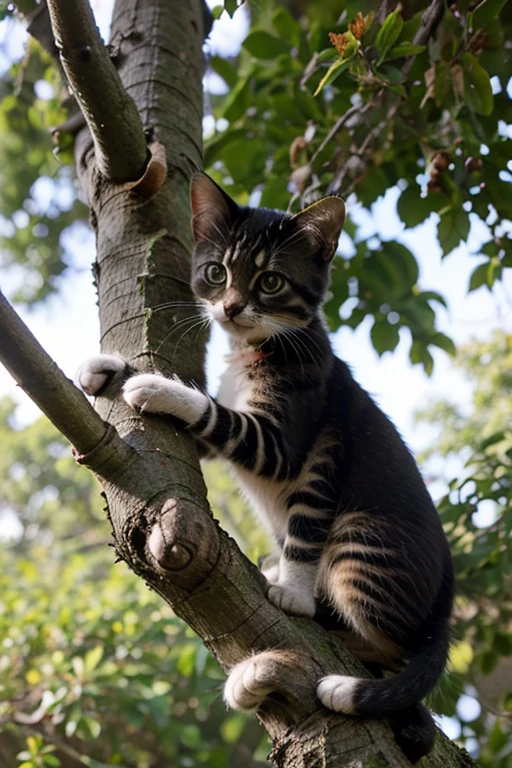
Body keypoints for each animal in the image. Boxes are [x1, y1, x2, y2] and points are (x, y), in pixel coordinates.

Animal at [78, 172, 454, 760]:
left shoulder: (296, 444)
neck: (256, 348)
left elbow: (234, 434)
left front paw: (294, 593)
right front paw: (111, 369)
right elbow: (212, 414)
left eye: (271, 282)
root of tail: (446, 601)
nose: (231, 307)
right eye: (216, 272)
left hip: (364, 539)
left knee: (392, 645)